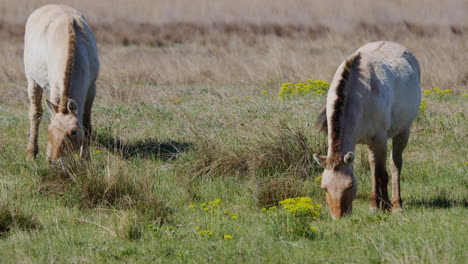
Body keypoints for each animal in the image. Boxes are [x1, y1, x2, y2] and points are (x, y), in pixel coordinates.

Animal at [24, 4, 99, 163]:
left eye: (73, 132)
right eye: (50, 130)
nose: (55, 161)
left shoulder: (91, 88)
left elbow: (86, 122)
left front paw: (86, 158)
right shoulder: (55, 89)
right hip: (32, 81)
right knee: (35, 112)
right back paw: (31, 153)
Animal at [314, 40, 420, 219]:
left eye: (350, 185)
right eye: (324, 187)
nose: (338, 218)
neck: (360, 94)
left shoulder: (380, 140)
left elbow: (382, 175)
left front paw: (387, 207)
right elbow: (375, 171)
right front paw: (376, 206)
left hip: (403, 131)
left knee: (395, 165)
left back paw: (397, 205)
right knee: (372, 165)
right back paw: (374, 204)